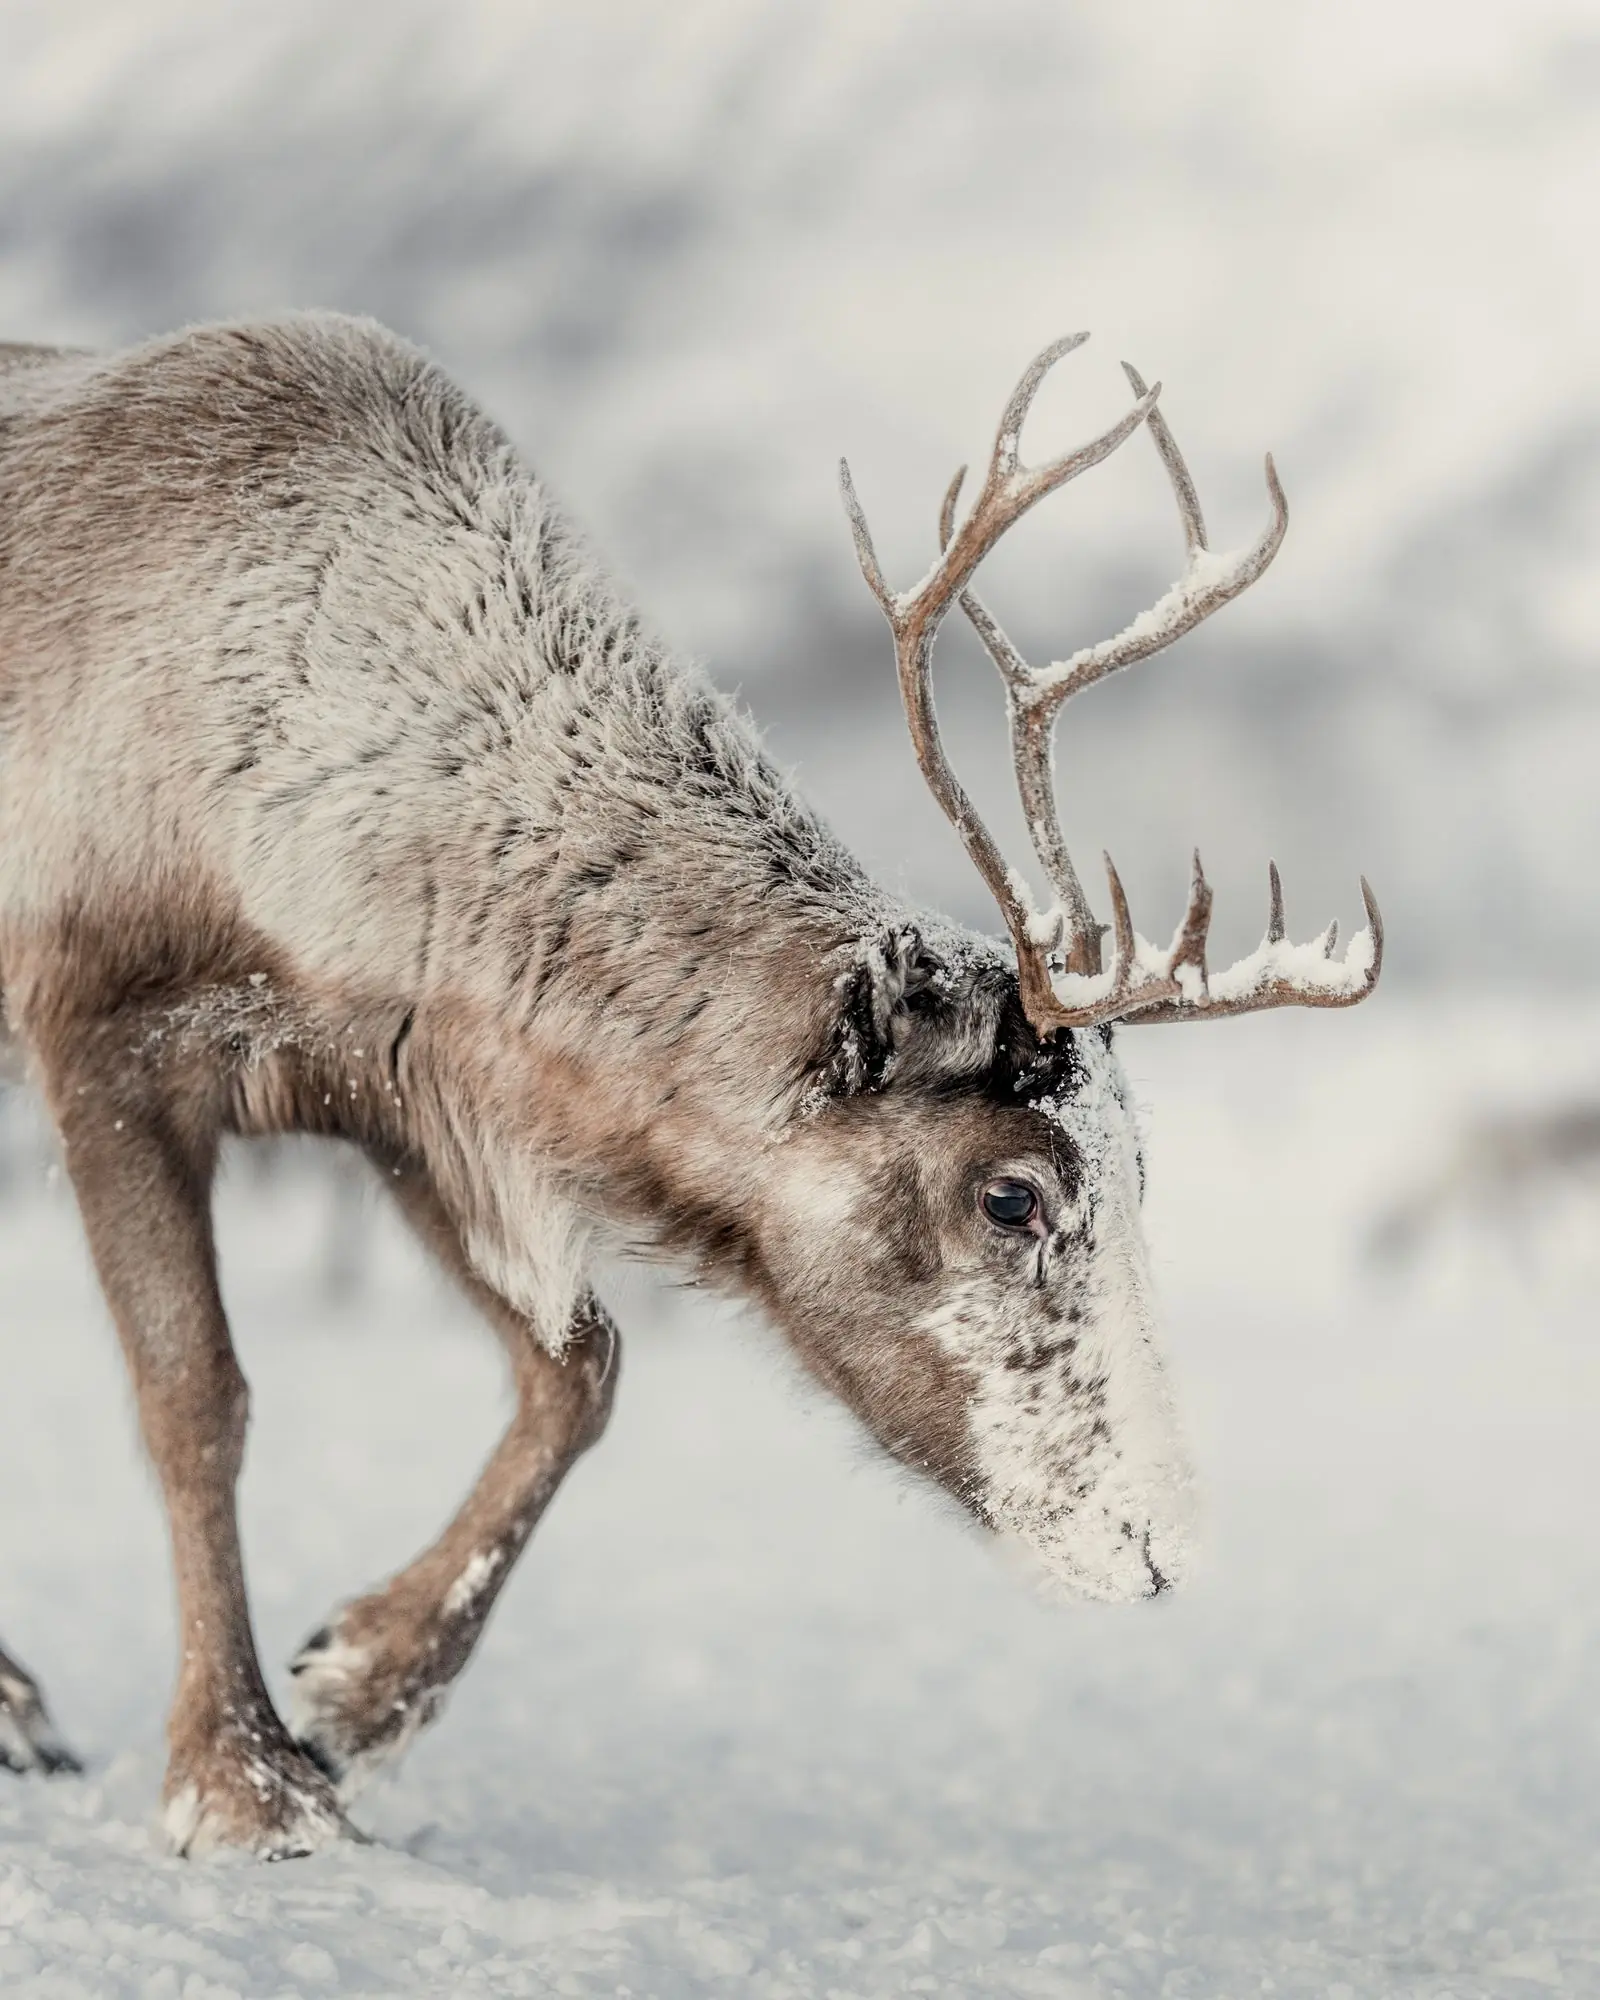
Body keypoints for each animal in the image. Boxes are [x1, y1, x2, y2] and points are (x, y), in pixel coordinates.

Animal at [0, 317, 1380, 1857]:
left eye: (1146, 1172)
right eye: (1011, 1194)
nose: (1158, 1547)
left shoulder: (415, 1092)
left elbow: (582, 1368)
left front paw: (362, 1687)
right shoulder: (103, 1035)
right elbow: (198, 1397)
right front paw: (241, 1779)